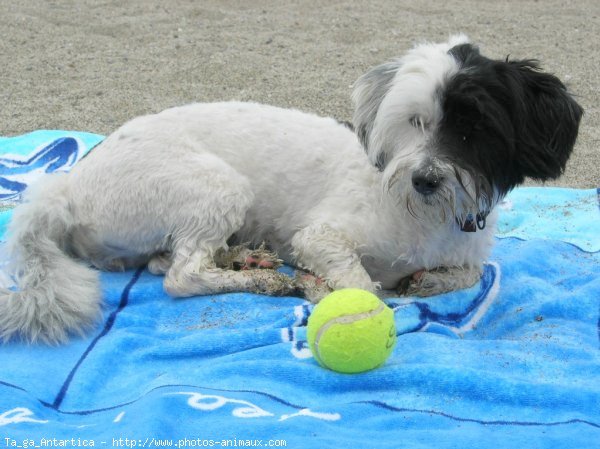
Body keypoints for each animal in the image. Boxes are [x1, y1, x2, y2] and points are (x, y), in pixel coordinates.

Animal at [0, 36, 580, 344]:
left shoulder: (466, 250)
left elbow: (469, 272)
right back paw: (267, 280)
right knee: (181, 276)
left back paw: (245, 260)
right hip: (216, 186)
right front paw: (323, 289)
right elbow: (365, 288)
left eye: (473, 129)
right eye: (416, 121)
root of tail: (69, 186)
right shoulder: (320, 237)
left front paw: (426, 282)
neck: (425, 216)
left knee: (167, 261)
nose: (425, 178)